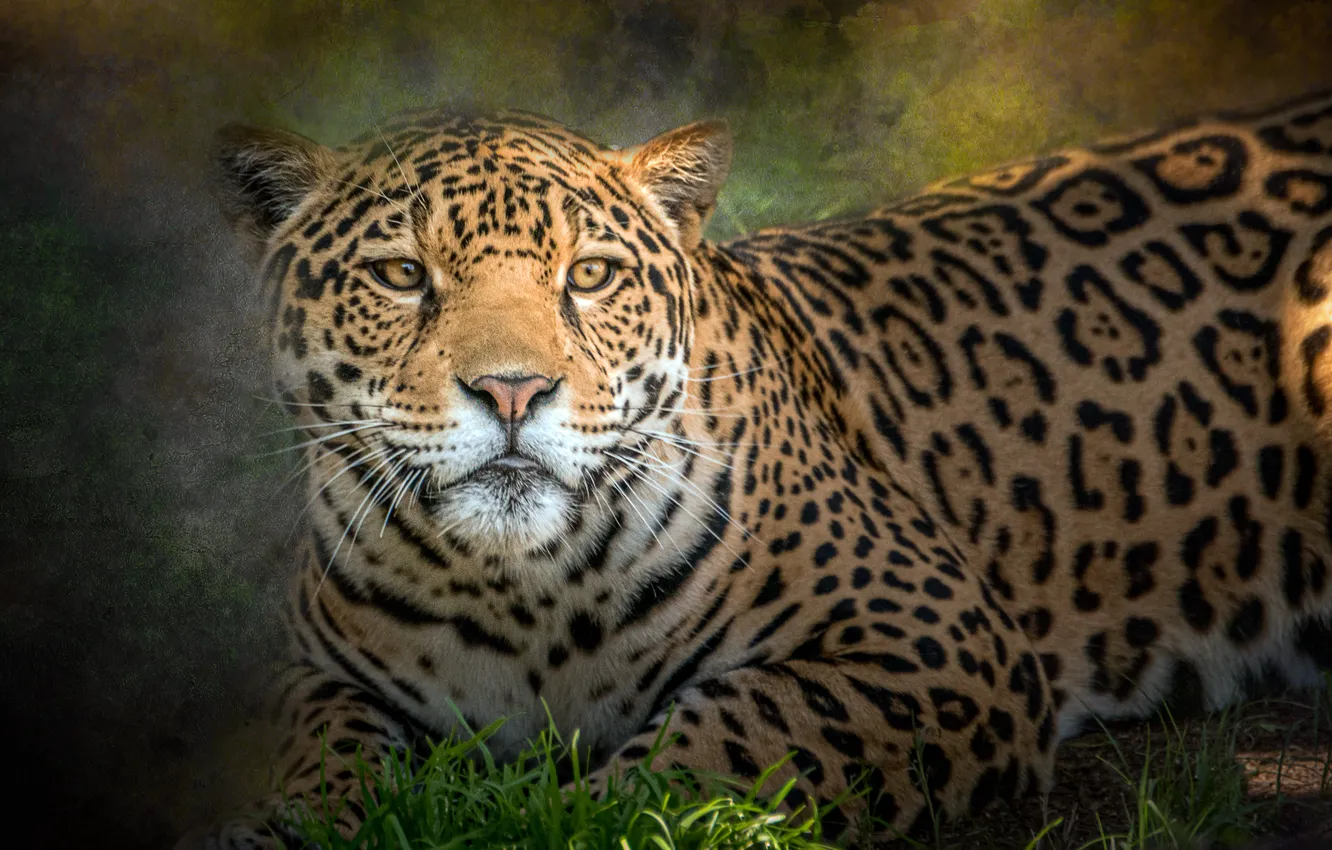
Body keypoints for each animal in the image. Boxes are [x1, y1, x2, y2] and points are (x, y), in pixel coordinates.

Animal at [184, 88, 1332, 848]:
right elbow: (314, 740)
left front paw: (585, 814)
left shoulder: (938, 641)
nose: (512, 393)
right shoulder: (304, 664)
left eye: (589, 277)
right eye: (399, 274)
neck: (524, 597)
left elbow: (737, 729)